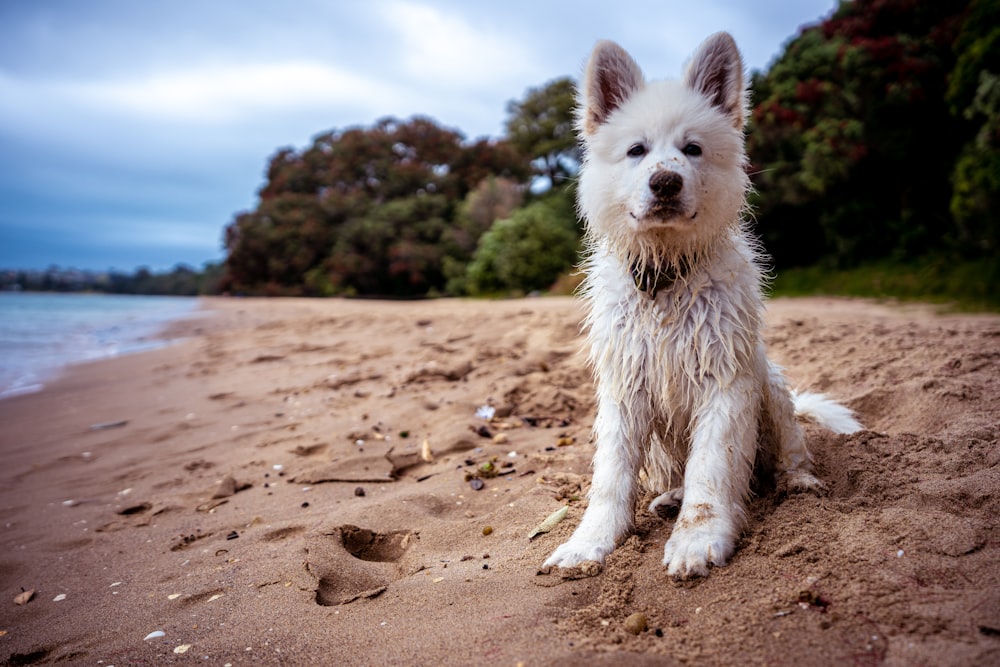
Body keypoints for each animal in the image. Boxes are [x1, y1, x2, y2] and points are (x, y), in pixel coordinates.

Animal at [544, 34, 864, 580]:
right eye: (636, 151)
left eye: (692, 149)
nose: (666, 183)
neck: (666, 277)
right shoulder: (625, 388)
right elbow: (611, 478)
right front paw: (588, 544)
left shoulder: (726, 382)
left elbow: (711, 472)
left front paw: (697, 540)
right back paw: (669, 498)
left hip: (770, 384)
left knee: (790, 454)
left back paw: (798, 484)